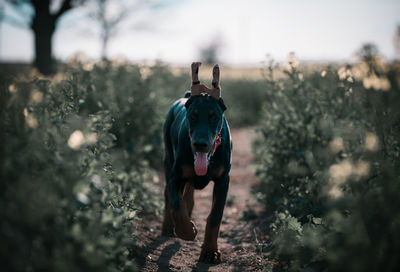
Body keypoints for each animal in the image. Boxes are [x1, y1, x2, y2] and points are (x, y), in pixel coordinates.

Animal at [162, 62, 233, 264]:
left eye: (213, 116)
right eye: (192, 116)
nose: (200, 144)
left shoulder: (224, 180)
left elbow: (215, 216)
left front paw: (210, 251)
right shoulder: (176, 176)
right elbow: (176, 205)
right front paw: (188, 231)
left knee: (189, 193)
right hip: (168, 160)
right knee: (169, 196)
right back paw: (168, 226)